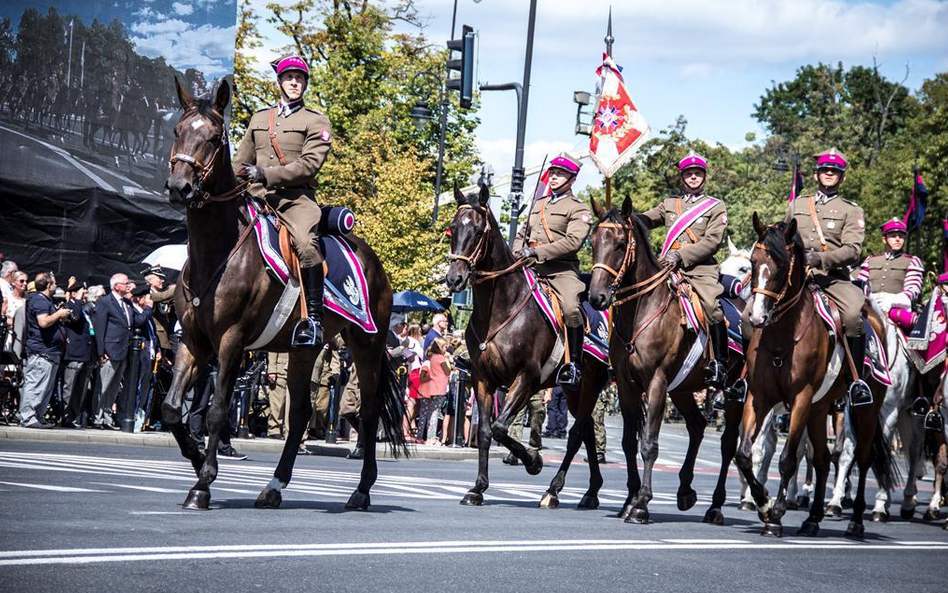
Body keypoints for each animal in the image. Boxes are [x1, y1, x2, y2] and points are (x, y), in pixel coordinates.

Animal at [162, 78, 404, 512]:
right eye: (177, 130)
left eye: (214, 137)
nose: (179, 187)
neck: (218, 252)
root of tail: (372, 258)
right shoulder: (192, 339)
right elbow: (173, 408)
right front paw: (193, 455)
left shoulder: (231, 342)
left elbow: (218, 411)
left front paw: (203, 482)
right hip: (303, 351)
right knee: (302, 413)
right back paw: (274, 486)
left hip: (366, 345)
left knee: (370, 410)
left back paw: (361, 491)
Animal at [444, 186, 608, 508]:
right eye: (452, 228)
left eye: (478, 230)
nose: (454, 278)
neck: (501, 308)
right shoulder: (483, 379)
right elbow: (486, 431)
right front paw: (478, 488)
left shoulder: (526, 379)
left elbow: (499, 428)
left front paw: (533, 461)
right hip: (574, 391)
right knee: (586, 433)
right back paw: (591, 492)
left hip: (589, 385)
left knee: (578, 433)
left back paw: (553, 491)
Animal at [584, 198, 748, 524]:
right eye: (593, 242)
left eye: (619, 244)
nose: (597, 298)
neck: (641, 310)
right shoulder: (627, 386)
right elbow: (629, 442)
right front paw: (629, 500)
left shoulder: (656, 383)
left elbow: (649, 444)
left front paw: (641, 504)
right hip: (683, 388)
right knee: (697, 426)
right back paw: (685, 491)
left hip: (733, 391)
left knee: (727, 444)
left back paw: (715, 506)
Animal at [740, 213, 896, 536]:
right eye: (752, 261)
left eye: (781, 265)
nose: (756, 317)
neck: (782, 337)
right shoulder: (758, 397)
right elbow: (745, 454)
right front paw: (763, 503)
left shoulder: (800, 399)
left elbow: (787, 459)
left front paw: (774, 517)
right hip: (819, 408)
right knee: (822, 459)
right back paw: (812, 519)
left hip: (867, 410)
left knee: (863, 458)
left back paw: (857, 520)